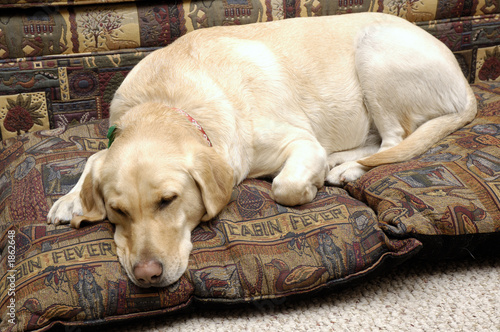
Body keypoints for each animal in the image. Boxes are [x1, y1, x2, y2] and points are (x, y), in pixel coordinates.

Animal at [47, 12, 476, 288]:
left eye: (168, 201)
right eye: (117, 211)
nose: (147, 276)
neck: (167, 102)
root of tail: (467, 86)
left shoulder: (297, 141)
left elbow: (285, 186)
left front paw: (308, 185)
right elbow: (93, 158)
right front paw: (70, 199)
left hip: (374, 52)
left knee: (394, 141)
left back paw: (345, 169)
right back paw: (338, 160)